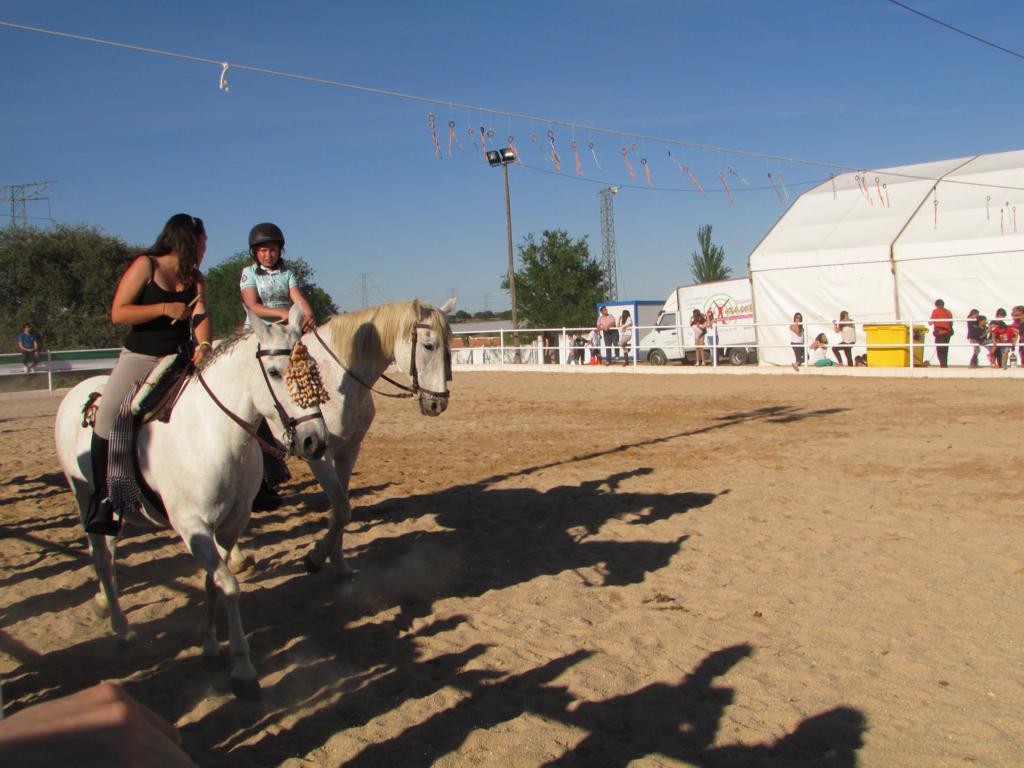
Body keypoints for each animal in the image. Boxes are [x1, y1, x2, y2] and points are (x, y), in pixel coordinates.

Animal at [54, 305, 328, 698]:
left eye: (312, 370)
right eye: (275, 372)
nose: (314, 441)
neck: (212, 433)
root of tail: (77, 392)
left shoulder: (230, 524)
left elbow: (213, 582)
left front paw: (210, 646)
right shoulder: (192, 526)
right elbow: (229, 585)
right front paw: (243, 668)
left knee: (108, 552)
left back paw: (105, 604)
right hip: (82, 495)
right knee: (100, 559)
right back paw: (121, 628)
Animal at [285, 298, 455, 575]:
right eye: (429, 345)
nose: (438, 404)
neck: (337, 376)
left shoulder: (348, 450)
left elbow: (341, 510)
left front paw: (338, 562)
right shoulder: (317, 455)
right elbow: (341, 509)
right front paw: (316, 558)